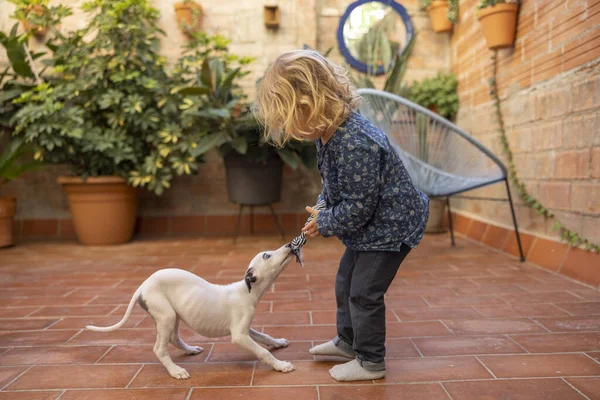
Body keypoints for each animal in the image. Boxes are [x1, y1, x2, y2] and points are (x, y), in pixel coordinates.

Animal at [85, 244, 300, 378]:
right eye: (267, 255)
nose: (290, 245)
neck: (247, 292)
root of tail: (142, 286)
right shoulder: (239, 335)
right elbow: (263, 352)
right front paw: (281, 365)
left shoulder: (246, 329)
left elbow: (264, 336)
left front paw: (279, 342)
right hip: (166, 315)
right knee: (160, 348)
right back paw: (175, 371)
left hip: (173, 316)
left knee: (173, 339)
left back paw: (190, 350)